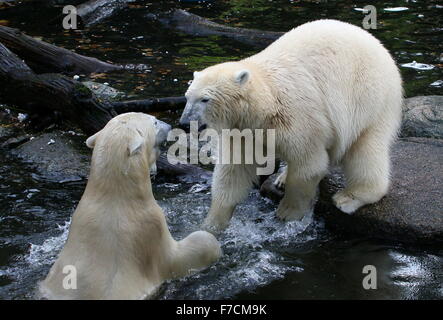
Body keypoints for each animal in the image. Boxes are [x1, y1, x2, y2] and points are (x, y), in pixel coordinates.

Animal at [181, 19, 406, 232]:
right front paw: (210, 225)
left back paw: (349, 197)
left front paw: (287, 213)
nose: (184, 123)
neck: (267, 101)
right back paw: (282, 177)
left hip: (369, 98)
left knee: (365, 150)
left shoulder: (296, 115)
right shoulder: (243, 130)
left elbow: (309, 165)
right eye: (187, 96)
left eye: (205, 99)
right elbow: (233, 172)